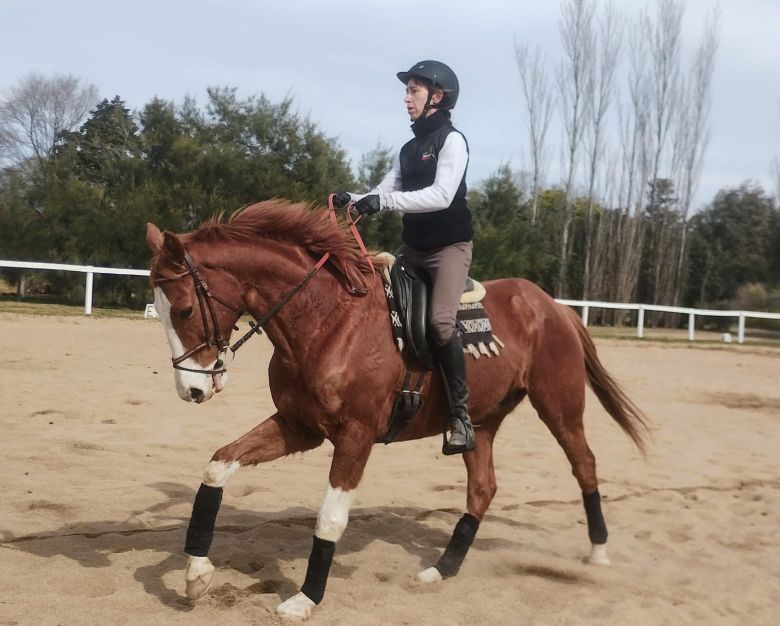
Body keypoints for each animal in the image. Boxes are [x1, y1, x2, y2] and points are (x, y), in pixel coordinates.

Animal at [145, 197, 644, 616]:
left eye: (185, 310)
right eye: (159, 309)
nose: (191, 390)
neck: (328, 320)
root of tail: (555, 307)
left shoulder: (356, 435)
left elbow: (330, 518)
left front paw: (306, 598)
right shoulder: (298, 426)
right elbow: (218, 466)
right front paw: (196, 574)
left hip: (560, 407)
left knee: (585, 465)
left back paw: (598, 552)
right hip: (481, 424)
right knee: (482, 489)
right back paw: (442, 568)